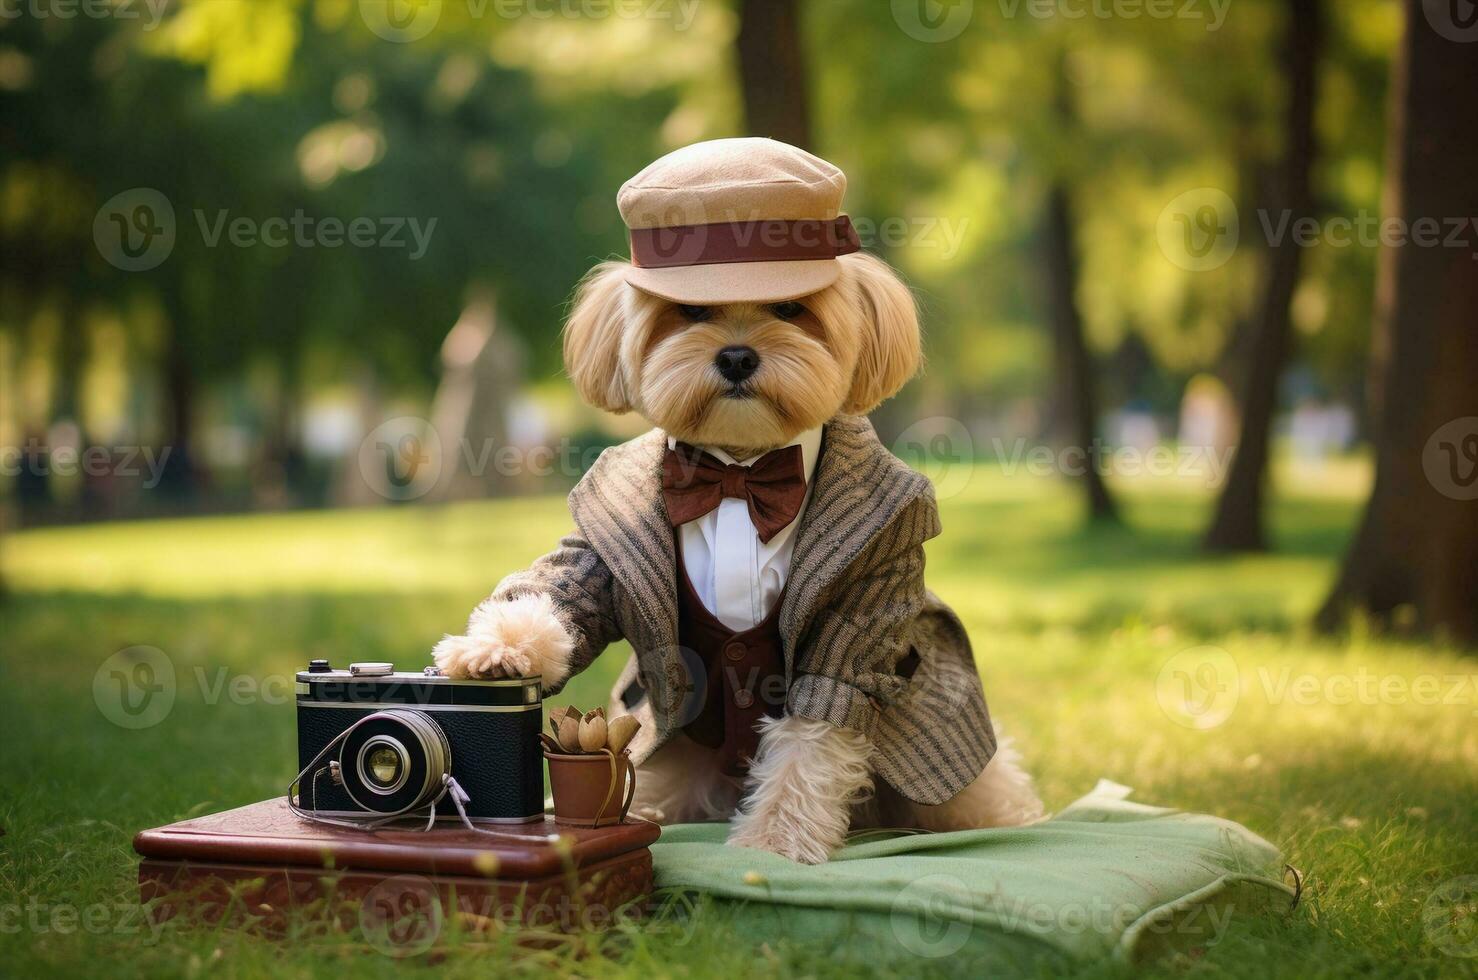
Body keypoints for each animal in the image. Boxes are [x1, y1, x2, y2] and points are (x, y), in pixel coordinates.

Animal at [431, 139, 1046, 869]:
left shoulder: (858, 612)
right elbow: (554, 595)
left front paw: (775, 839)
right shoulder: (598, 556)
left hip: (951, 777)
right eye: (691, 313)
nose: (735, 356)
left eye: (790, 310)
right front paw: (495, 650)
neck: (738, 472)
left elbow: (813, 737)